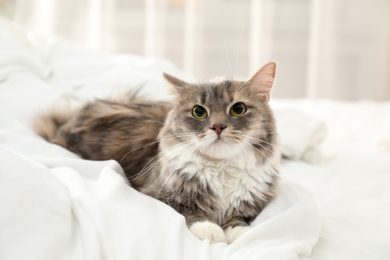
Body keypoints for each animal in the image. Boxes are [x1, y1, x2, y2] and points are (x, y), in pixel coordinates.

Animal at [35, 61, 280, 244]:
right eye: (199, 112)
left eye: (238, 109)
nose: (218, 127)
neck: (222, 167)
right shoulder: (157, 192)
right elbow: (190, 211)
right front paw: (211, 231)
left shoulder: (253, 199)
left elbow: (239, 217)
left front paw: (239, 233)